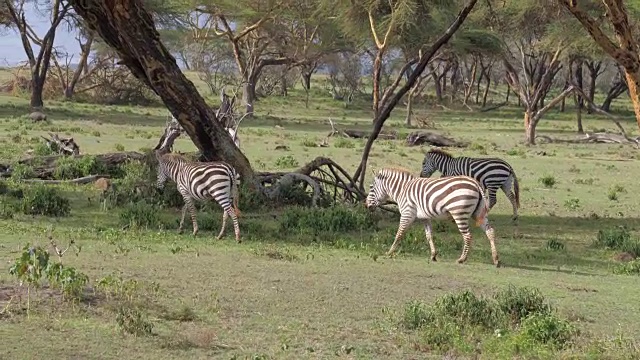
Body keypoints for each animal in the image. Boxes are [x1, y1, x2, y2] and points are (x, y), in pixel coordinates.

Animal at [364, 167, 500, 266]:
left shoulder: (407, 213)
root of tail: (476, 183)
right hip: (478, 213)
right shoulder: (425, 217)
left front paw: (389, 252)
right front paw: (433, 255)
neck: (402, 189)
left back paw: (462, 259)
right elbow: (429, 235)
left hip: (459, 213)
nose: (367, 205)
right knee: (490, 231)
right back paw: (496, 260)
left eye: (371, 188)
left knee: (467, 236)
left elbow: (399, 233)